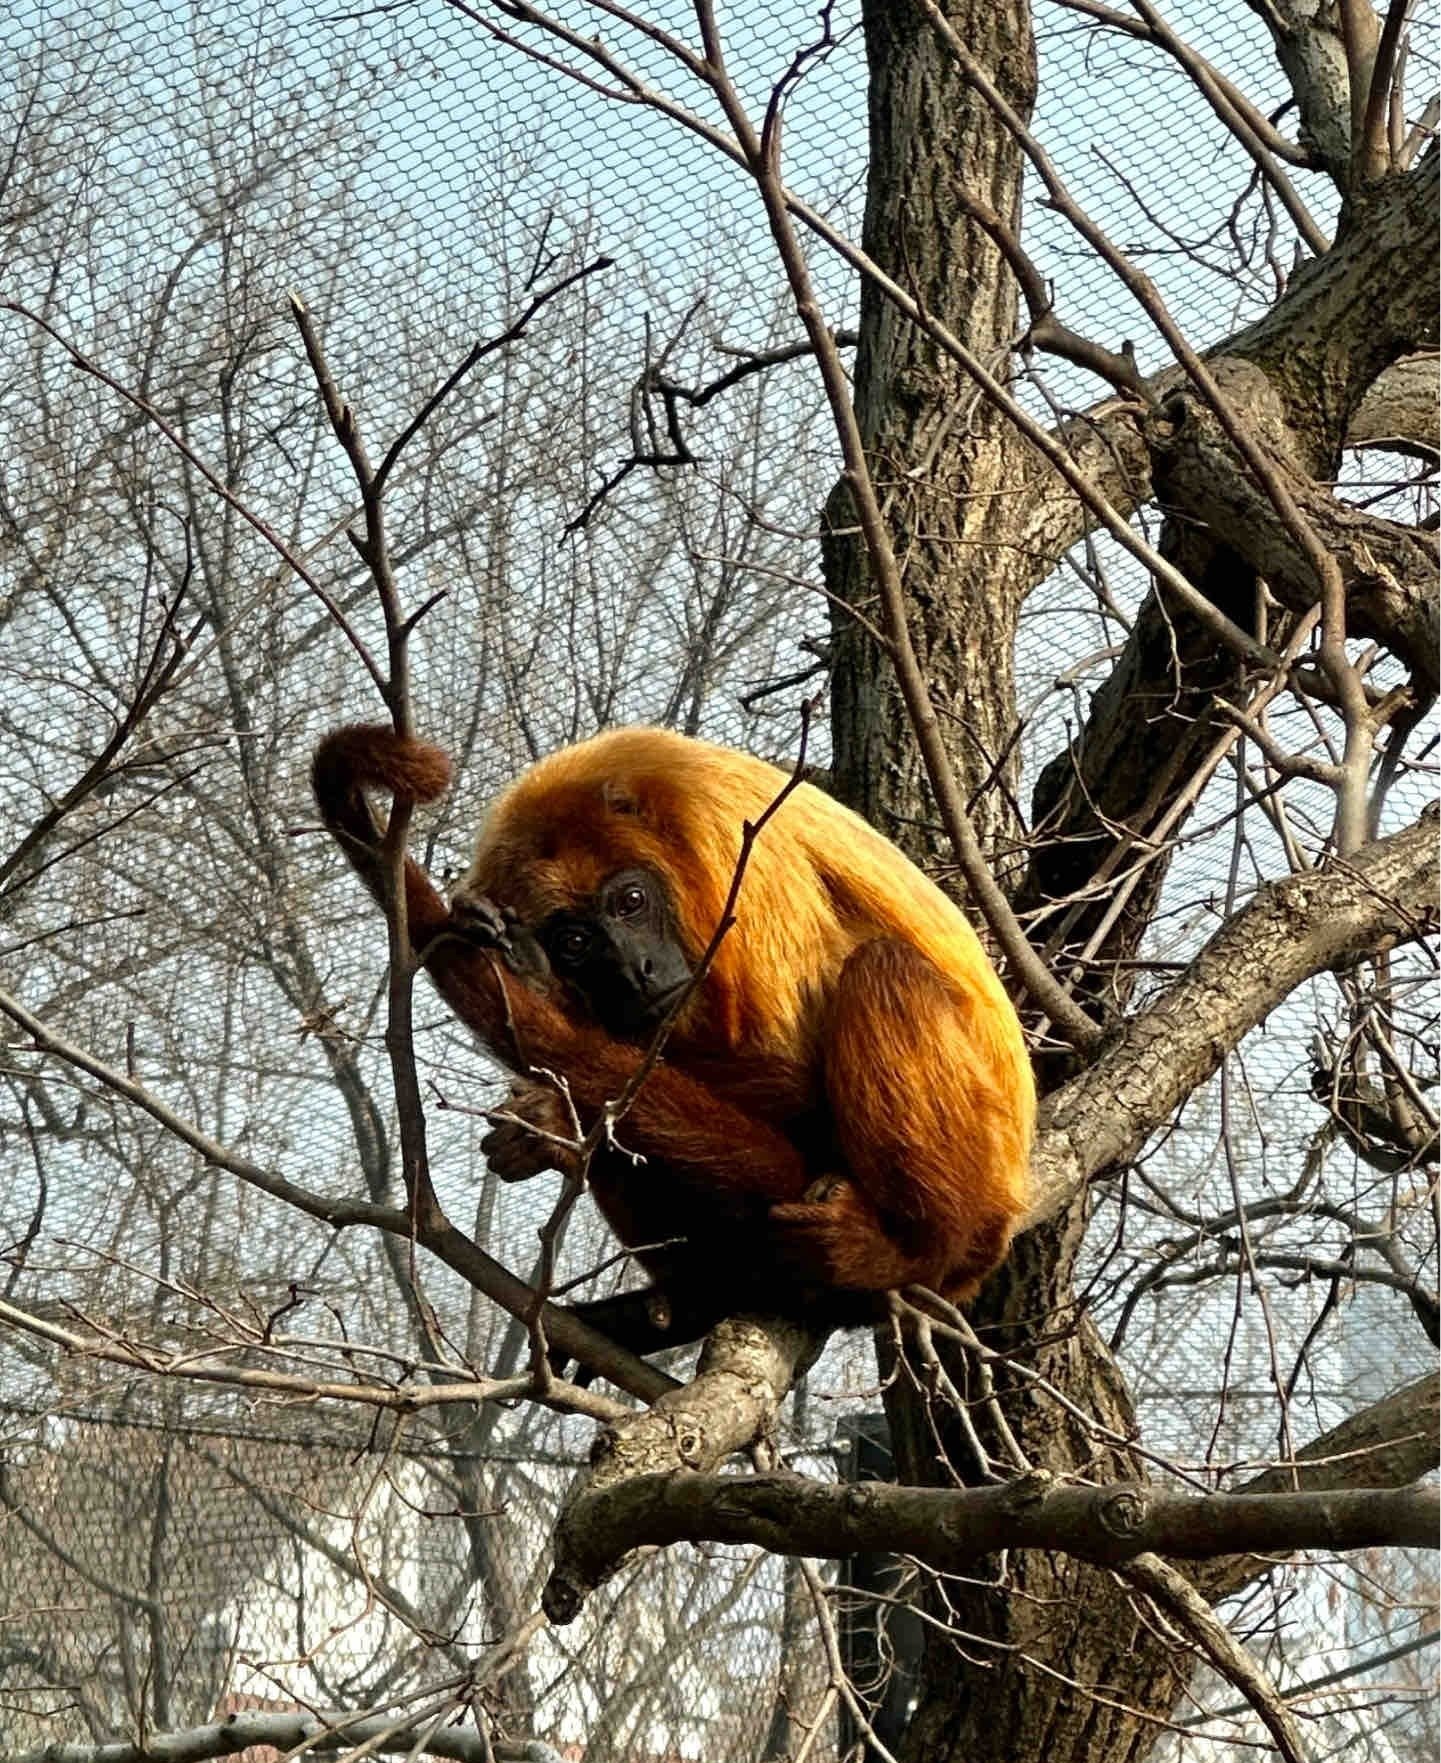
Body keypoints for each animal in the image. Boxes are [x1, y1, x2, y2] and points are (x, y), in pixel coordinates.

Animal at [313, 722, 1037, 1353]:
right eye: (575, 942)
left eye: (629, 902)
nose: (635, 969)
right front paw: (538, 998)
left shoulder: (727, 843)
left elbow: (791, 1076)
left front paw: (548, 1100)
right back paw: (695, 1300)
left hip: (977, 1202)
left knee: (885, 972)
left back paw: (901, 1253)